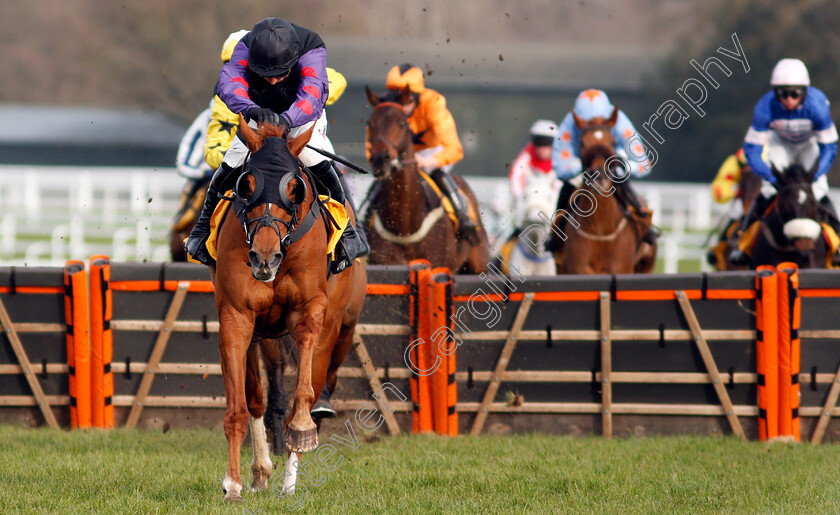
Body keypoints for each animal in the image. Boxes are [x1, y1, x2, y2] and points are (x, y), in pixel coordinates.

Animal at [209, 119, 364, 502]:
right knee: (255, 400)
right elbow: (239, 408)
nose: (264, 258)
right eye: (246, 185)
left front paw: (301, 432)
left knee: (311, 387)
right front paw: (233, 484)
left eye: (295, 188)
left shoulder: (311, 311)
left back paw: (290, 481)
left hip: (335, 328)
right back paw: (262, 471)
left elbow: (303, 394)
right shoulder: (236, 317)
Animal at [362, 87, 492, 274]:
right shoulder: (385, 265)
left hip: (479, 263)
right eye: (370, 123)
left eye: (402, 124)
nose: (380, 160)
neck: (404, 225)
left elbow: (453, 147)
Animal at [548, 109, 660, 276]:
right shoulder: (579, 269)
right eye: (582, 143)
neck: (600, 230)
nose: (599, 176)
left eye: (612, 142)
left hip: (647, 265)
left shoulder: (622, 268)